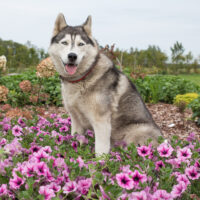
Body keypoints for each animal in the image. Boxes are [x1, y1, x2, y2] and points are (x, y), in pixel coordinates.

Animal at [48, 13, 162, 155]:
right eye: (64, 42)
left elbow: (100, 150)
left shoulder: (101, 121)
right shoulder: (75, 119)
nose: (72, 56)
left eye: (81, 44)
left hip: (136, 132)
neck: (82, 78)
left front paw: (99, 161)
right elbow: (75, 140)